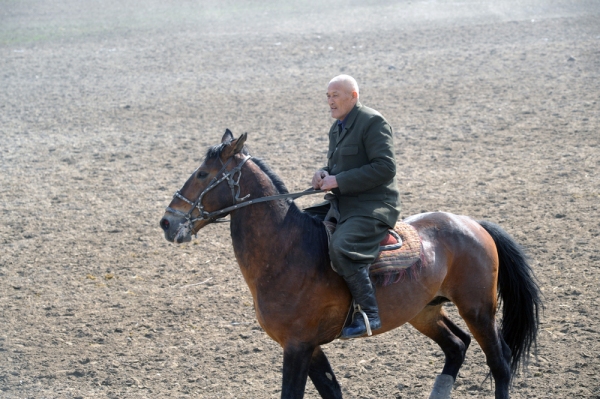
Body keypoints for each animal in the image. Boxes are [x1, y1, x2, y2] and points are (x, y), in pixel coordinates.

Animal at [161, 131, 544, 399]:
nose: (167, 222)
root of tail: (472, 223)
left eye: (203, 173)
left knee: (500, 364)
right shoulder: (309, 347)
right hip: (424, 311)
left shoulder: (297, 346)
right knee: (457, 346)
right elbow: (332, 391)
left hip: (477, 309)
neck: (286, 251)